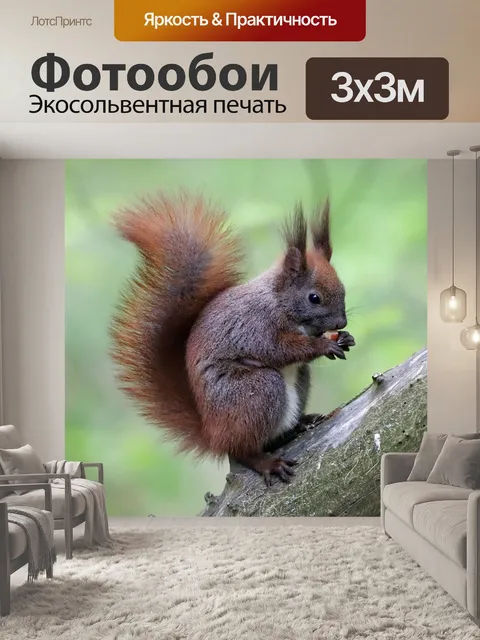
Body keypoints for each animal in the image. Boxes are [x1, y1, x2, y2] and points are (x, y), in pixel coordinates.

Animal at [110, 193, 355, 485]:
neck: (278, 300)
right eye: (314, 297)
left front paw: (345, 338)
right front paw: (324, 344)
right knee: (241, 451)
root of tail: (214, 434)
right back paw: (265, 462)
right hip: (256, 391)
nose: (341, 323)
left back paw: (301, 423)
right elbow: (279, 349)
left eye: (343, 289)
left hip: (295, 383)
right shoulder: (255, 327)